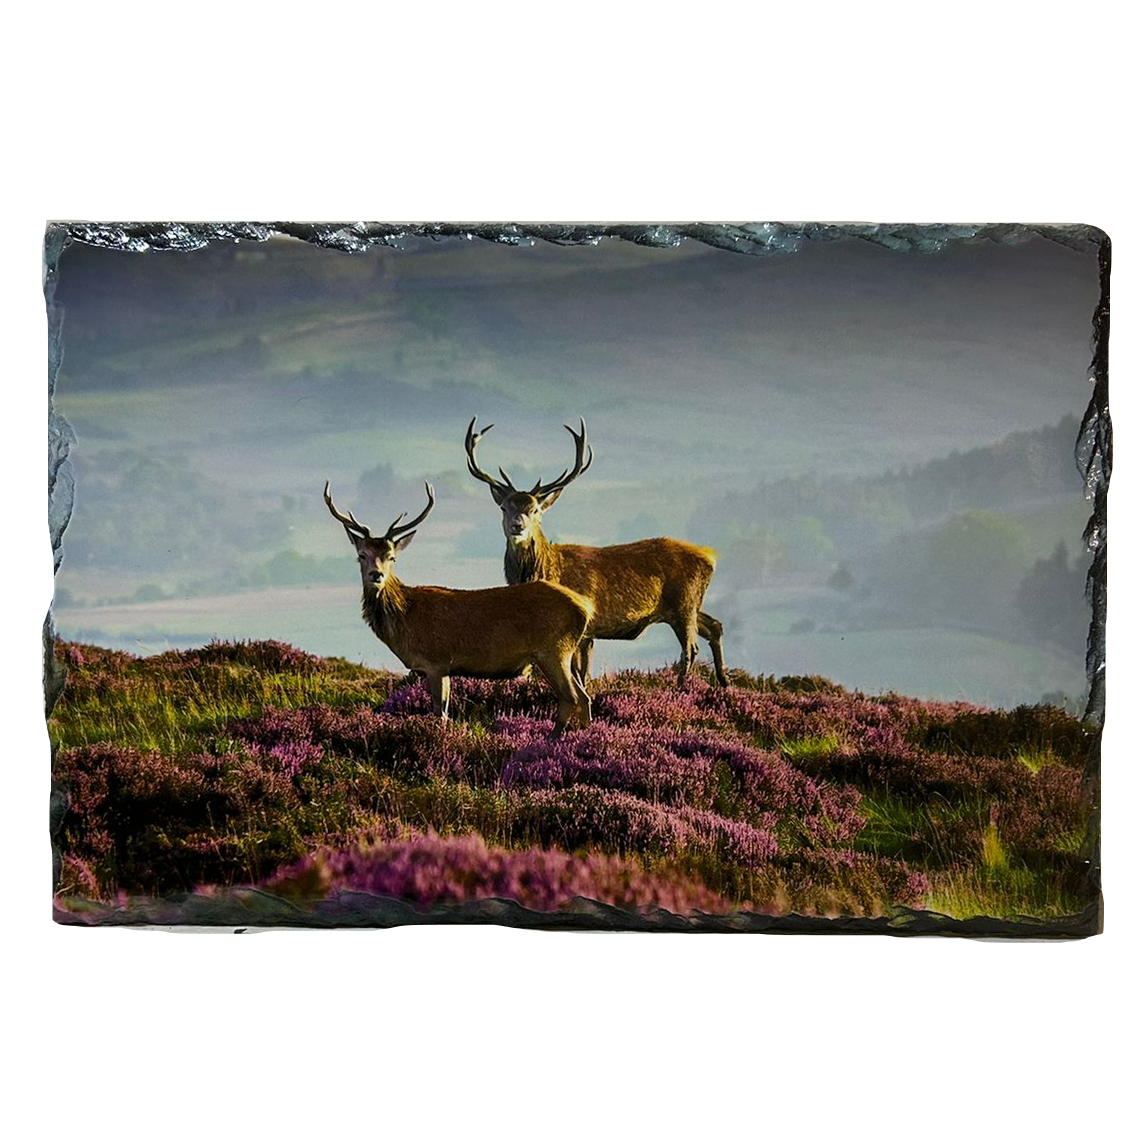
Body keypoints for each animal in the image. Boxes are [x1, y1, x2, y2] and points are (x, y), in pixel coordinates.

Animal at [324, 479, 593, 735]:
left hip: (553, 651)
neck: (405, 619)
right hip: (563, 653)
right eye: (361, 554)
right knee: (584, 696)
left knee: (571, 697)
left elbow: (439, 712)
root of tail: (584, 608)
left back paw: (553, 738)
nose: (376, 575)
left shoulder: (437, 662)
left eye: (392, 557)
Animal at [464, 417, 730, 690]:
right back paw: (723, 681)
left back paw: (681, 688)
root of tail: (710, 558)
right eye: (504, 507)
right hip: (688, 605)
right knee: (715, 626)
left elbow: (581, 673)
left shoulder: (583, 626)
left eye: (535, 509)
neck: (545, 571)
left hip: (683, 604)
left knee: (690, 649)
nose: (518, 526)